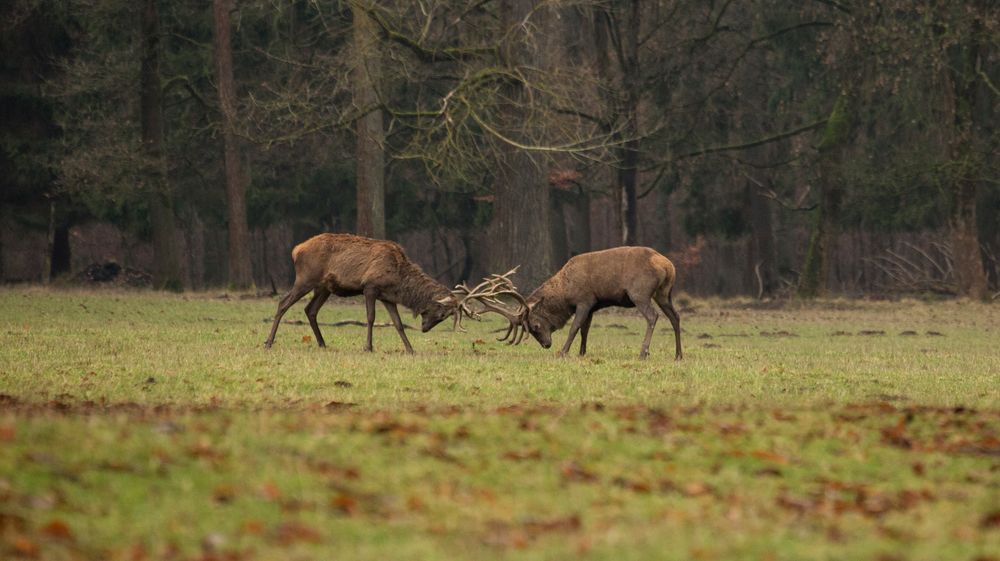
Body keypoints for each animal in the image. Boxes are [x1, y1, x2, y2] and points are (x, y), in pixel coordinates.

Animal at [266, 234, 468, 352]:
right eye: (442, 314)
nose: (425, 329)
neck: (399, 280)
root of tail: (296, 250)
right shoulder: (370, 287)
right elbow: (370, 318)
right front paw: (368, 347)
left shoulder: (388, 297)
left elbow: (398, 324)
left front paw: (410, 349)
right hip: (305, 279)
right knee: (283, 303)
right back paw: (268, 342)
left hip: (323, 288)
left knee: (310, 310)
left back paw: (322, 343)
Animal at [470, 247, 680, 360]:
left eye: (535, 326)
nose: (546, 345)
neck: (566, 291)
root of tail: (668, 265)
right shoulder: (594, 305)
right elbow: (585, 329)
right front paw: (581, 353)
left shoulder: (584, 300)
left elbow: (574, 327)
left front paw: (563, 352)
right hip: (664, 293)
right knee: (675, 317)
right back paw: (678, 355)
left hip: (640, 293)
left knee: (653, 316)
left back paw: (643, 353)